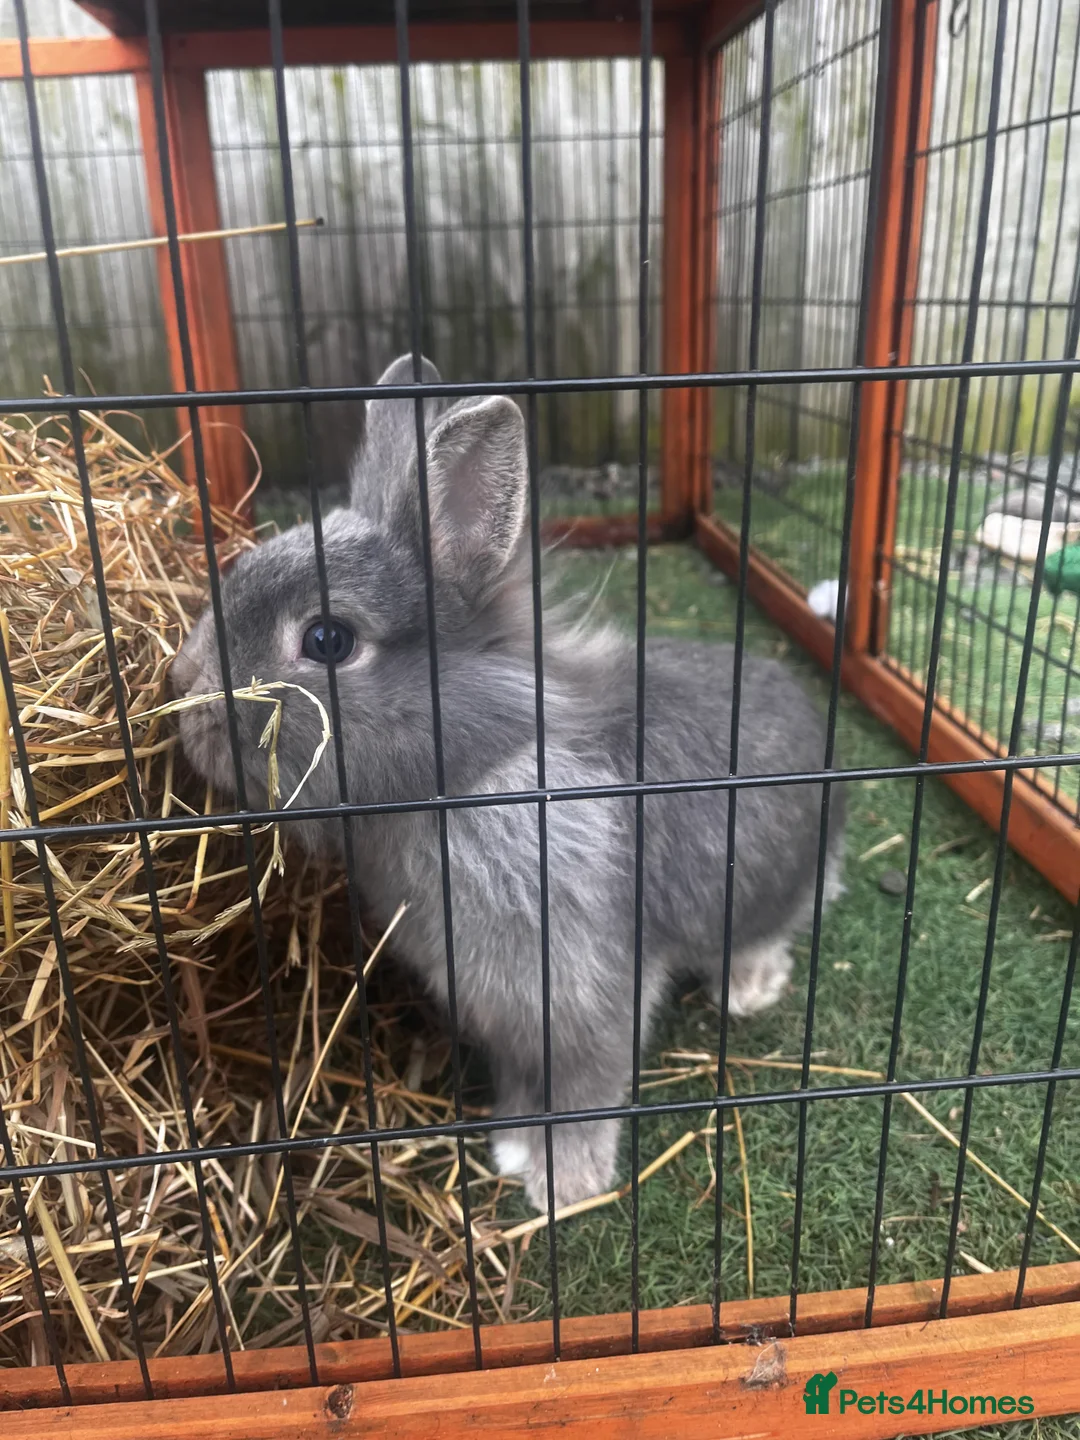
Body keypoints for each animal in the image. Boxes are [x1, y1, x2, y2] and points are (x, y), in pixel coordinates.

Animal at [172, 354, 845, 1213]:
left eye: (326, 640)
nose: (184, 692)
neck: (480, 771)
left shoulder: (585, 994)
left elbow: (589, 1087)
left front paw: (564, 1184)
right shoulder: (508, 1017)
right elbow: (527, 1083)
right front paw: (512, 1144)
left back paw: (749, 987)